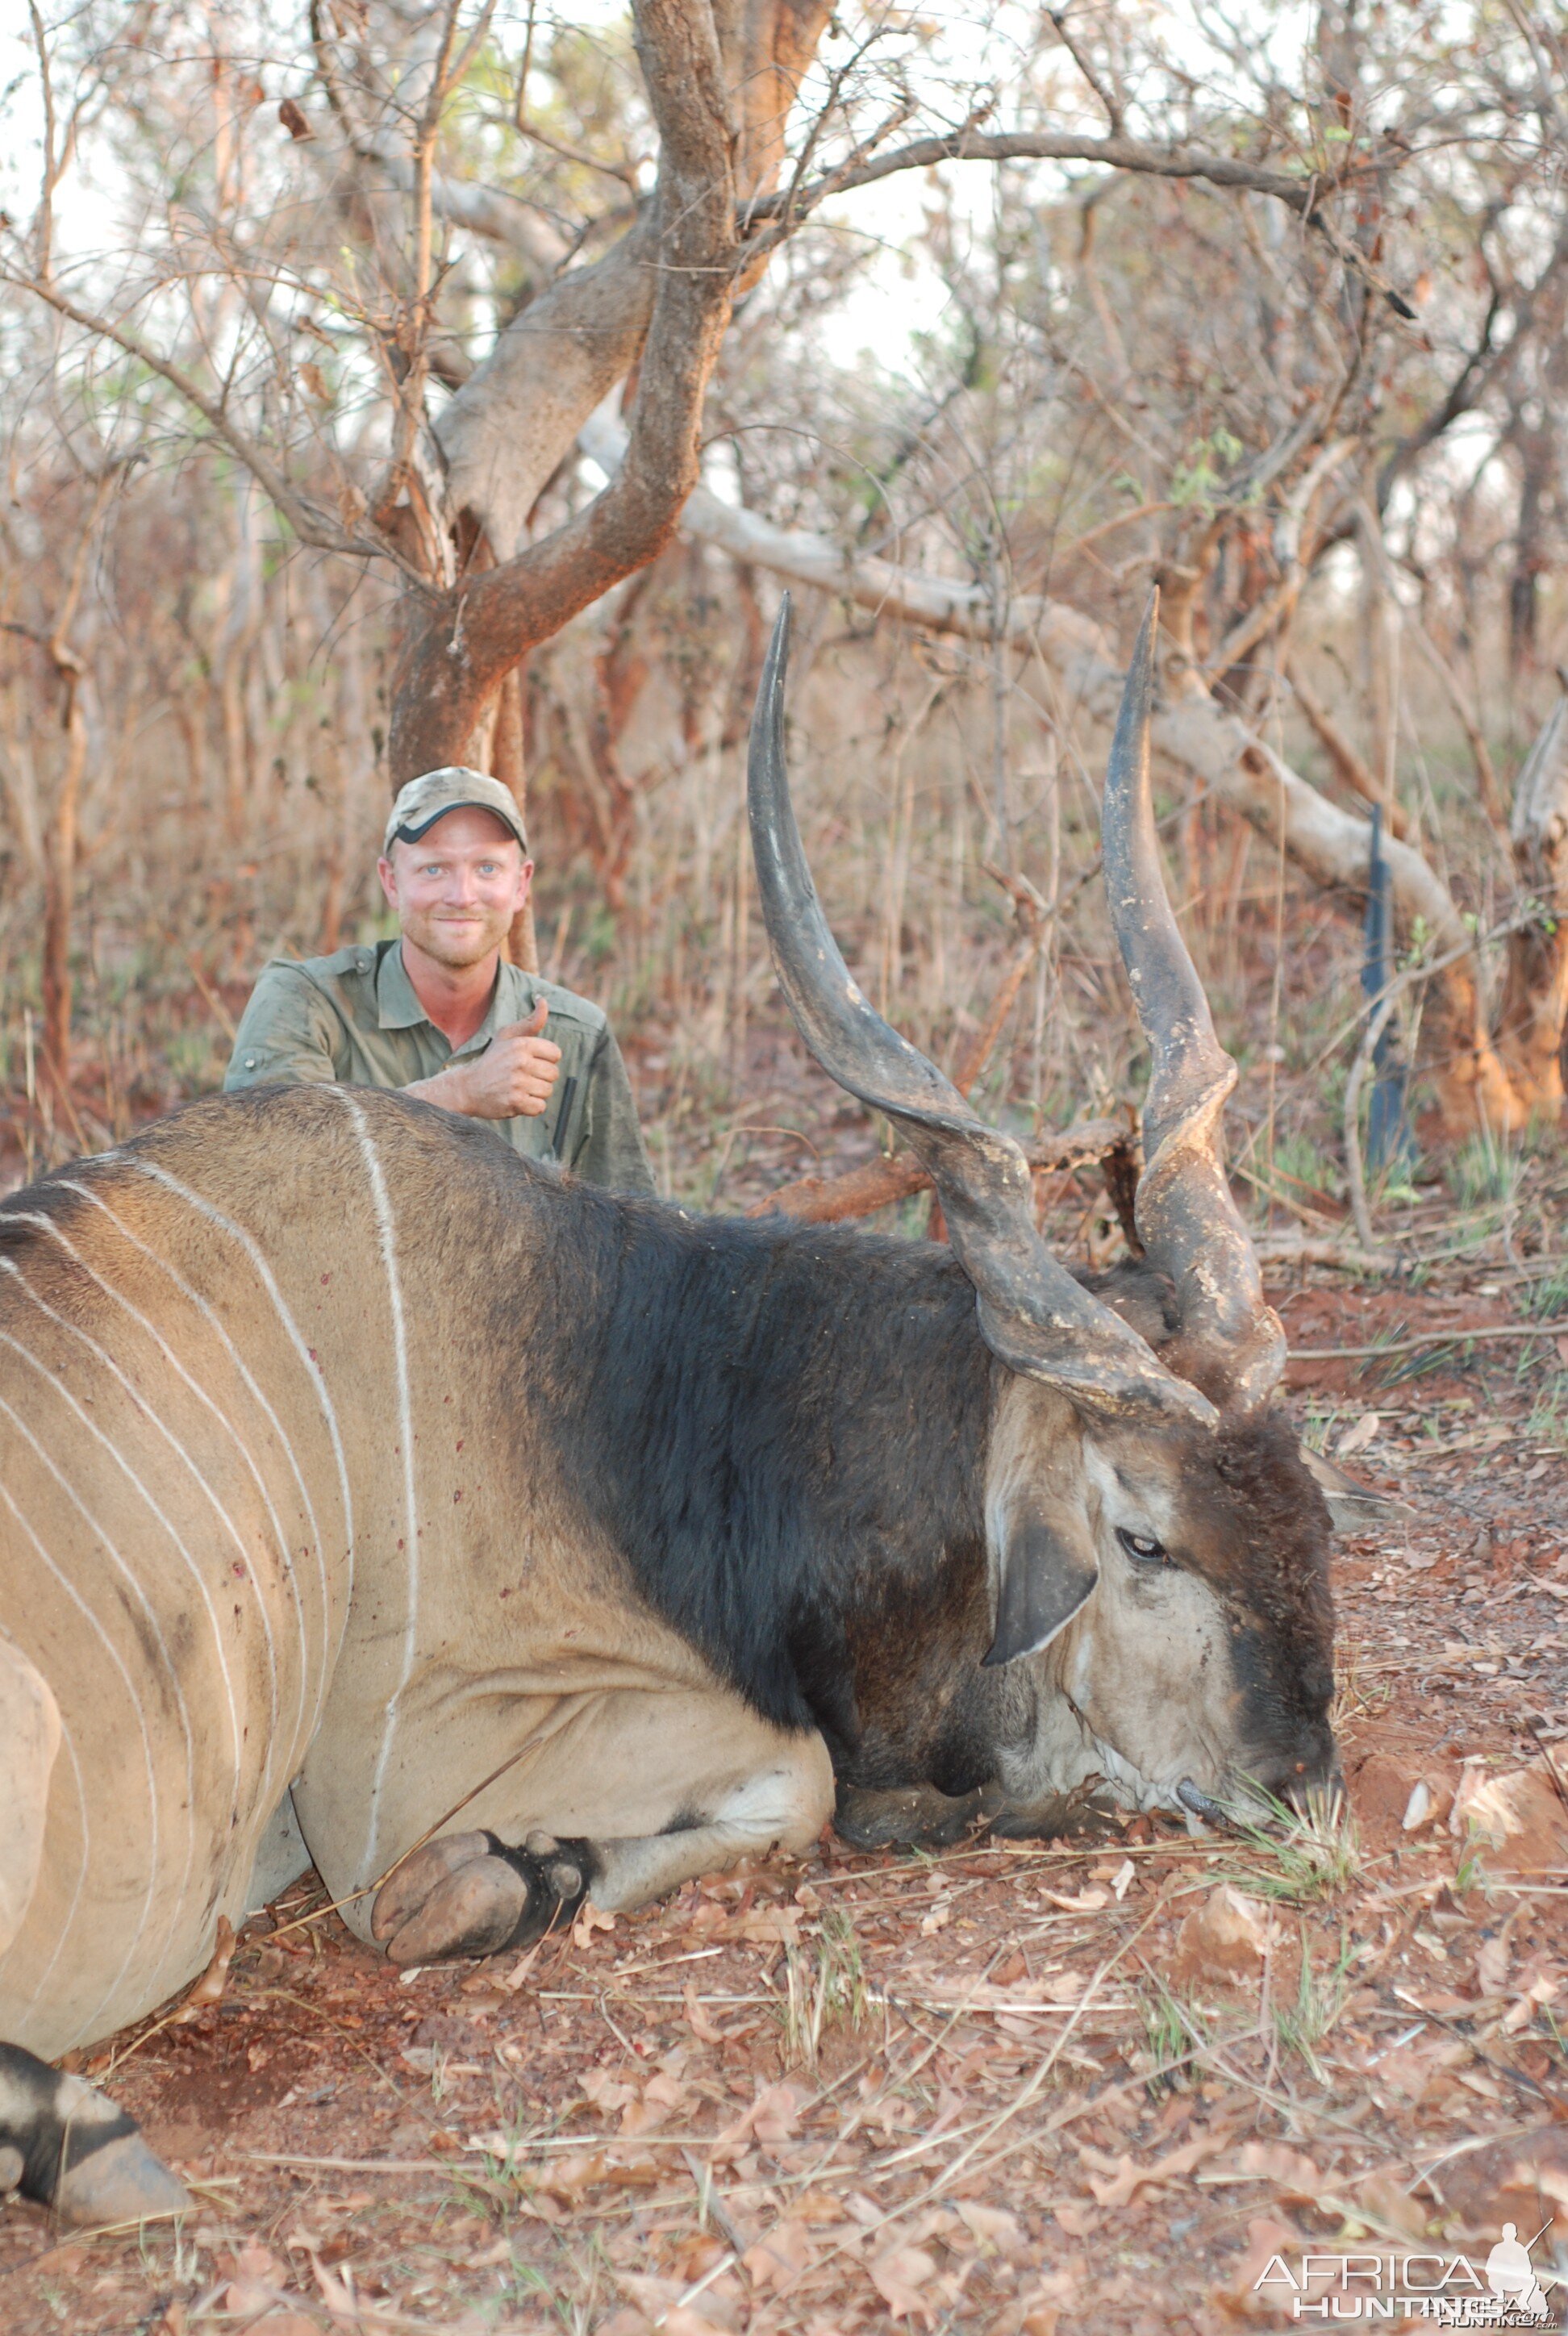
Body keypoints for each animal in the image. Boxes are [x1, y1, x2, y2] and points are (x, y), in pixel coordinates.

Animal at [0, 593, 1337, 2214]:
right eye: (1144, 1540)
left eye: (1309, 1504)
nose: (1306, 1783)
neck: (635, 1388)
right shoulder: (408, 1771)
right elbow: (788, 1787)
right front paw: (532, 1874)